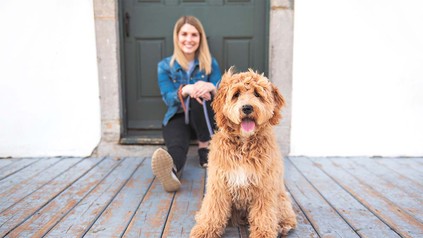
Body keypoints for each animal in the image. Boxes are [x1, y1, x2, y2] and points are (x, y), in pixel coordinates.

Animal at [190, 68, 296, 237]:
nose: (247, 108)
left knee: (287, 215)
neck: (244, 145)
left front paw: (263, 234)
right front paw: (205, 230)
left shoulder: (264, 188)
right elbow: (213, 209)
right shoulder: (218, 184)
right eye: (236, 94)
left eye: (257, 94)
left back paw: (284, 225)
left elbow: (264, 215)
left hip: (281, 198)